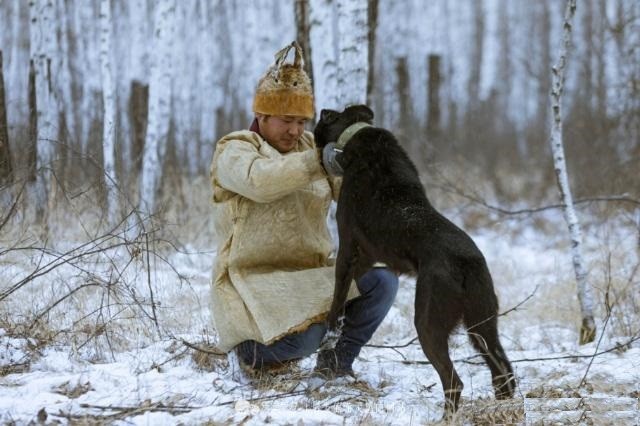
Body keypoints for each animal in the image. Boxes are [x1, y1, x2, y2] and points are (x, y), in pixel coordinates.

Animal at [314, 105, 516, 414]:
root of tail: (468, 263)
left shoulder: (349, 244)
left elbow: (338, 293)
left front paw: (331, 326)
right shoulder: (370, 254)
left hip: (429, 322)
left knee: (454, 380)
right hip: (482, 323)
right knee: (502, 370)